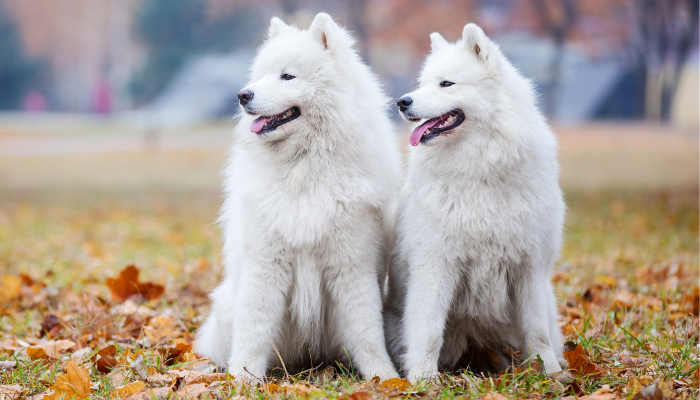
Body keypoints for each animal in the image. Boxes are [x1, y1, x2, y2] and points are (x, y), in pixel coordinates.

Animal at [194, 11, 402, 382]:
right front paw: (243, 378)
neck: (304, 164)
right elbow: (253, 328)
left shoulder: (352, 264)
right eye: (261, 74)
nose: (242, 94)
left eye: (287, 75)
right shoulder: (266, 264)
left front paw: (384, 376)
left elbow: (367, 330)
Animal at [382, 22, 568, 382]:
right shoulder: (436, 265)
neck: (480, 168)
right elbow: (428, 329)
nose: (402, 102)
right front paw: (423, 379)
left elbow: (537, 330)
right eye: (422, 83)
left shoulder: (529, 267)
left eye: (446, 83)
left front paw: (549, 373)